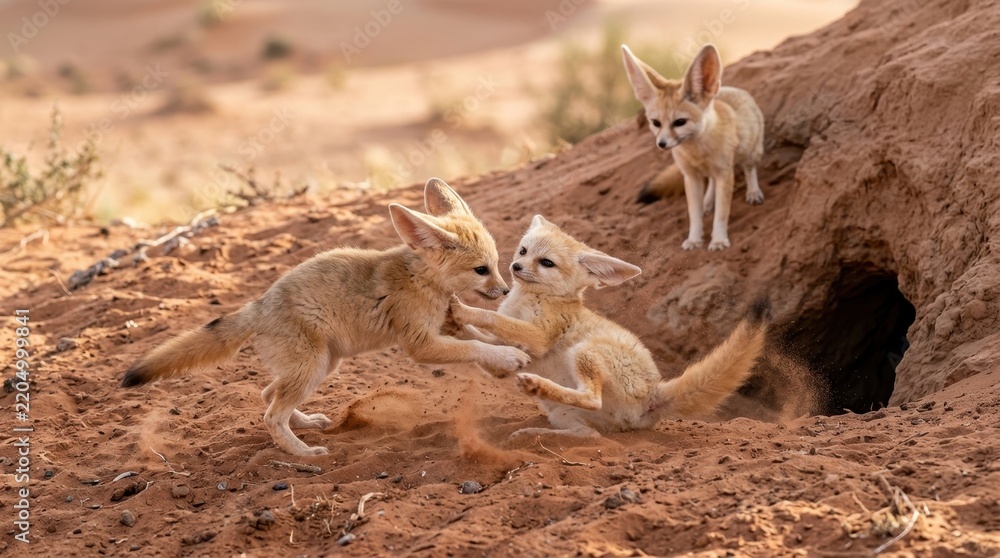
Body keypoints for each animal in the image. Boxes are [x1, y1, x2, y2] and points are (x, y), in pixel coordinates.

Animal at [120, 178, 530, 456]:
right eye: (481, 270)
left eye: (496, 265)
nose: (504, 290)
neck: (420, 278)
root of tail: (260, 304)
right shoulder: (422, 344)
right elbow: (474, 347)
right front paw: (507, 357)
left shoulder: (446, 325)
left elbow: (480, 337)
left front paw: (508, 355)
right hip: (314, 366)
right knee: (271, 414)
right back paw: (302, 454)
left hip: (322, 365)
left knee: (268, 394)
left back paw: (308, 425)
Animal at [449, 215, 769, 438]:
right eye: (523, 251)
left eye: (546, 263)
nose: (515, 267)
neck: (533, 300)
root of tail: (654, 395)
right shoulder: (508, 358)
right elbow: (482, 341)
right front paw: (453, 324)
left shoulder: (539, 336)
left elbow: (493, 318)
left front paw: (463, 310)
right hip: (562, 413)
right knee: (590, 435)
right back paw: (535, 432)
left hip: (584, 352)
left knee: (591, 399)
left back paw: (536, 387)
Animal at [622, 43, 765, 251]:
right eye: (656, 123)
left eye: (680, 122)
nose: (661, 144)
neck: (697, 153)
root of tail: (735, 89)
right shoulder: (690, 177)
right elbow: (694, 214)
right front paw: (694, 239)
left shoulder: (725, 174)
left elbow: (722, 213)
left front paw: (718, 240)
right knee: (711, 183)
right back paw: (707, 203)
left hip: (750, 151)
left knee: (749, 168)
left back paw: (753, 192)